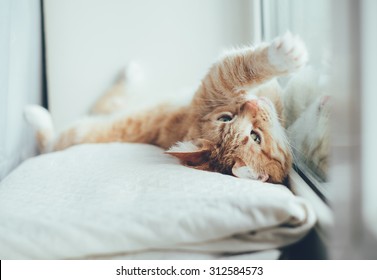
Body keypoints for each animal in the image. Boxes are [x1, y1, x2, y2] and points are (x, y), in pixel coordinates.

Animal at [25, 32, 308, 184]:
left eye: (255, 137)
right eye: (226, 118)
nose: (251, 103)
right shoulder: (215, 84)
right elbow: (241, 67)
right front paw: (284, 57)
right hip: (78, 131)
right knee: (48, 142)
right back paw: (35, 114)